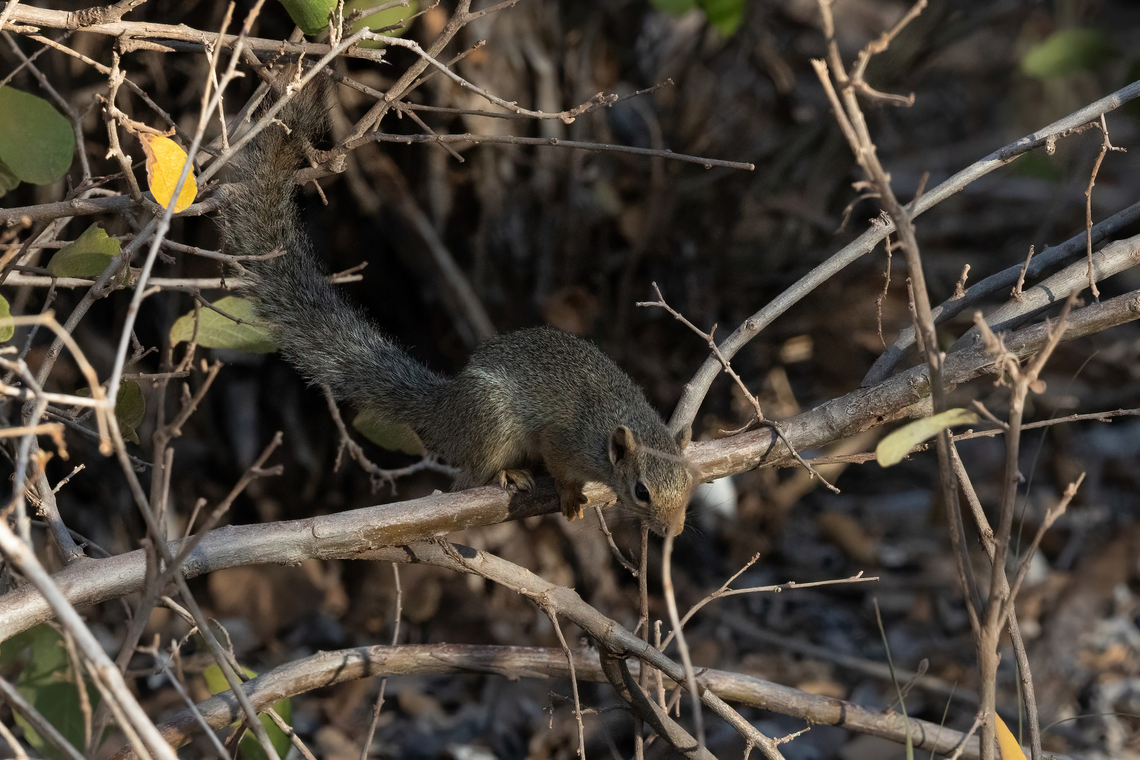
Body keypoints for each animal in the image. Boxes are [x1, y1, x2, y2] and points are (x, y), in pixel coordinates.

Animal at [218, 82, 694, 536]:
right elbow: (560, 469)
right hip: (493, 423)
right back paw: (504, 476)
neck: (615, 421)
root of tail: (448, 409)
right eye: (641, 491)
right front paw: (570, 495)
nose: (672, 531)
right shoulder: (564, 440)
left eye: (689, 483)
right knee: (468, 477)